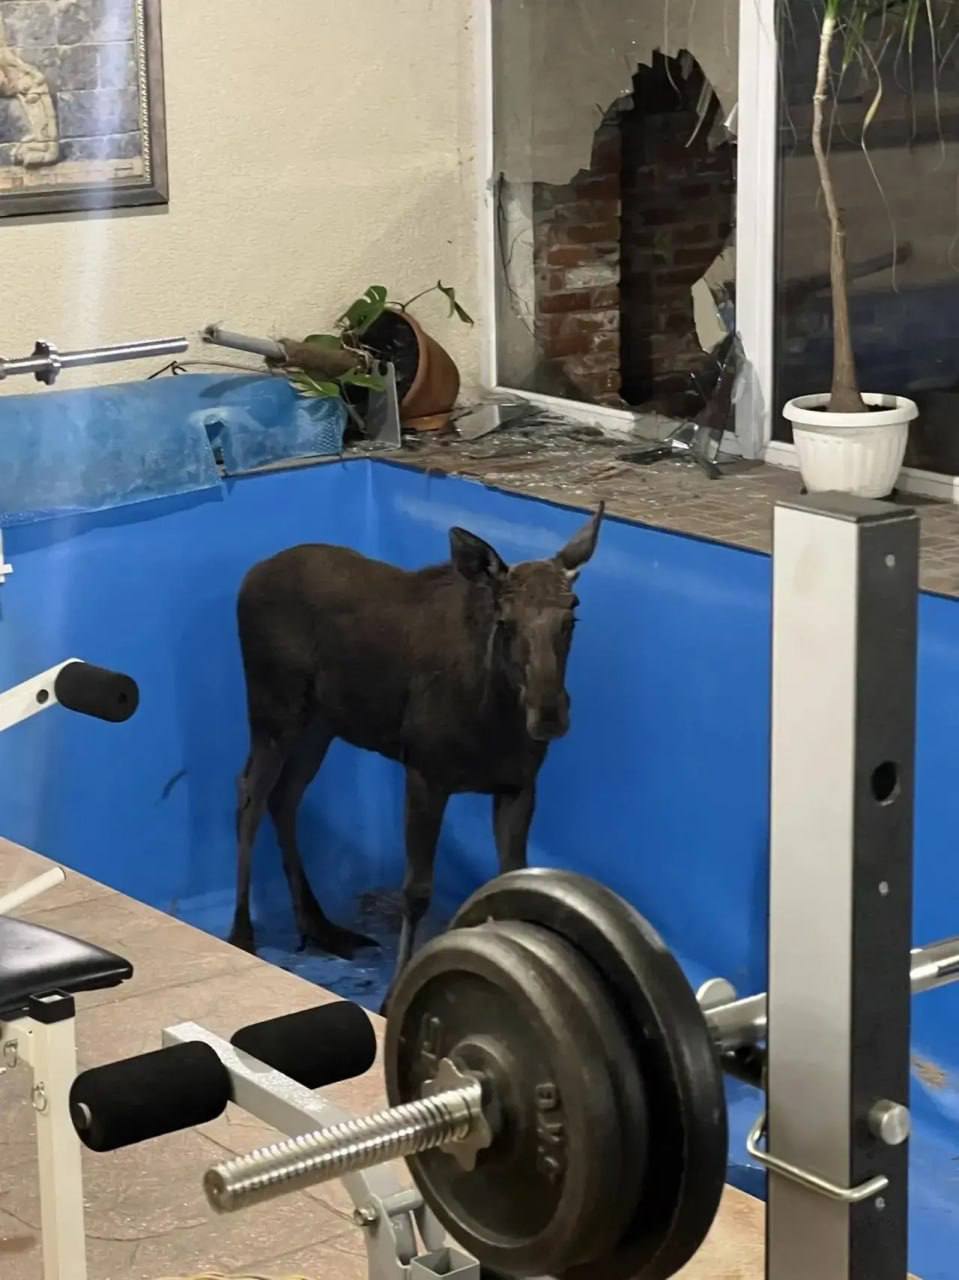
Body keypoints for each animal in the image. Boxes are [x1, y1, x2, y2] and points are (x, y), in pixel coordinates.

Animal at [229, 504, 604, 1006]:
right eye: (504, 621)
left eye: (572, 617)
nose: (548, 714)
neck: (492, 719)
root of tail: (250, 576)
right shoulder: (425, 773)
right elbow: (417, 890)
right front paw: (392, 993)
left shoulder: (519, 785)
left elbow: (512, 875)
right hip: (275, 707)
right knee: (249, 794)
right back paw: (242, 933)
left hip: (322, 722)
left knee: (284, 796)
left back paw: (320, 925)